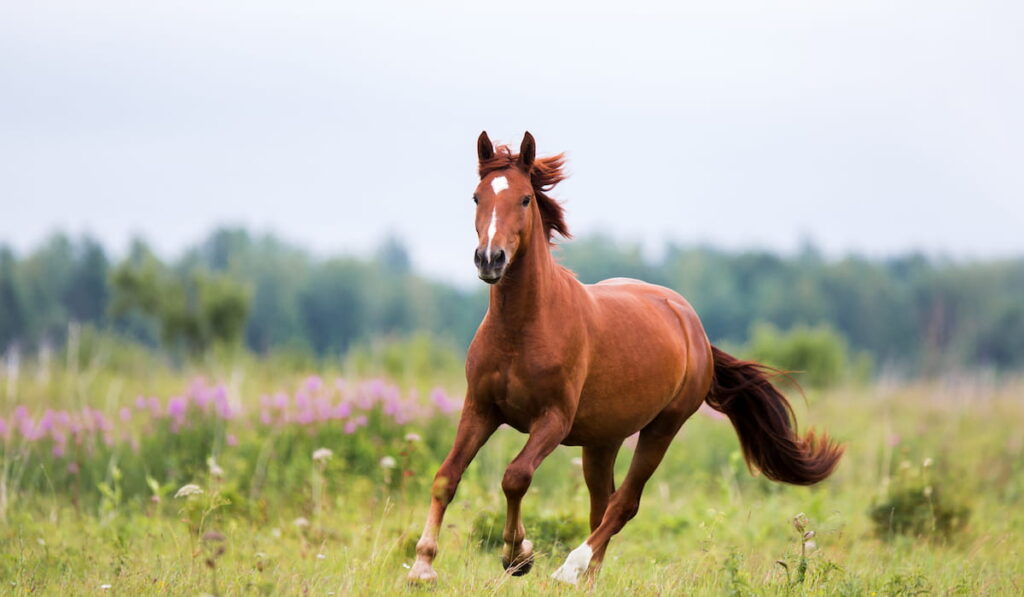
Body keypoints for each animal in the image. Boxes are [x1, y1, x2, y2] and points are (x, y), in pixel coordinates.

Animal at [403, 131, 843, 585]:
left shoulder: (553, 420)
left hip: (662, 428)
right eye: (477, 197)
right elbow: (447, 477)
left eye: (525, 199)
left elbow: (515, 477)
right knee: (602, 504)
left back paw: (571, 568)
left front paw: (517, 555)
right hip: (602, 441)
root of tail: (692, 325)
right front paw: (423, 565)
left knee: (623, 504)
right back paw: (588, 579)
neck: (522, 330)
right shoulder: (481, 408)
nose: (490, 259)